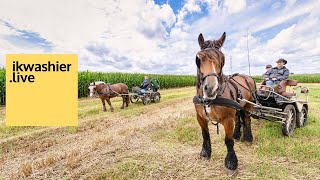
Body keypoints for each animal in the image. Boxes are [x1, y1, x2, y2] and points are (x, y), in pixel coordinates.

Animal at [194, 32, 256, 176]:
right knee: (239, 119)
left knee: (247, 120)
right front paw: (205, 153)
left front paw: (231, 163)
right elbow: (205, 135)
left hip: (248, 105)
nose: (211, 88)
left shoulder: (227, 119)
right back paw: (238, 135)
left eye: (222, 58)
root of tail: (247, 77)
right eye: (198, 59)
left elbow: (228, 140)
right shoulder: (200, 117)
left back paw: (248, 138)